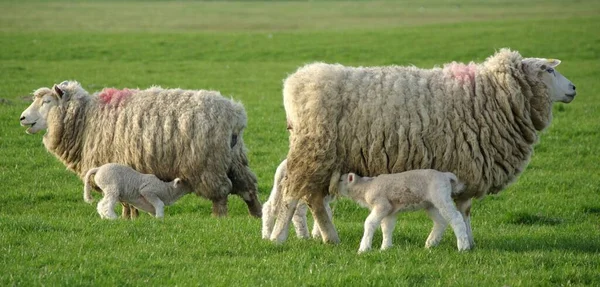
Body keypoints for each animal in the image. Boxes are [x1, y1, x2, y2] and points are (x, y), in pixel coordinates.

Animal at [18, 81, 262, 218]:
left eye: (47, 101)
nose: (22, 118)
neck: (86, 118)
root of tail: (235, 114)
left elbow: (123, 199)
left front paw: (127, 218)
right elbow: (127, 199)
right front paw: (131, 218)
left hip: (207, 164)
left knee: (221, 192)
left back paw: (219, 219)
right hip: (234, 159)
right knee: (248, 187)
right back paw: (257, 215)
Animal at [338, 170, 468, 253]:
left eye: (340, 179)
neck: (365, 188)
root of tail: (445, 175)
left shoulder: (382, 205)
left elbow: (369, 223)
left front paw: (364, 248)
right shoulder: (390, 210)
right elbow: (387, 227)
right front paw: (385, 248)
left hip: (441, 196)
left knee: (456, 218)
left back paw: (463, 246)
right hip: (431, 204)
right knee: (441, 222)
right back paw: (430, 243)